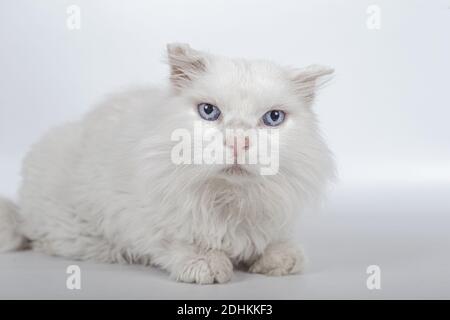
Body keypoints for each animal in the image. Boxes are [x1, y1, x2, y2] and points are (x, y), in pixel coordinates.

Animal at [0, 43, 334, 284]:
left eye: (273, 118)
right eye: (209, 111)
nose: (238, 142)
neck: (228, 199)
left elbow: (274, 242)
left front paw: (279, 259)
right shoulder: (138, 215)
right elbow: (178, 241)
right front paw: (208, 264)